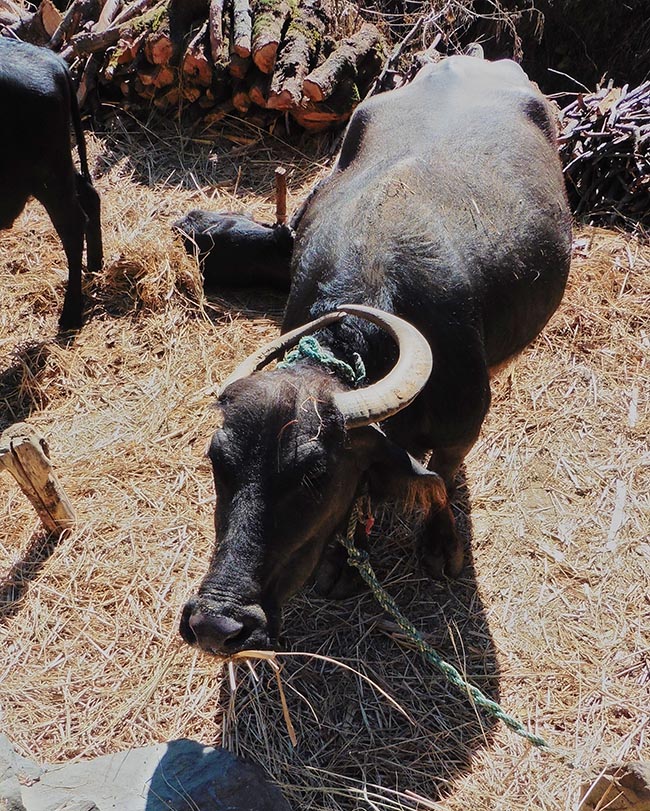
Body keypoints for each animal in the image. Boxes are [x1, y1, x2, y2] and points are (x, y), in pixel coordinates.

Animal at [0, 35, 101, 326]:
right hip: (58, 167)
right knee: (89, 194)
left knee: (73, 225)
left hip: (46, 174)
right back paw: (95, 266)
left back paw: (71, 314)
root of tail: (52, 60)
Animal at [180, 55, 568, 652]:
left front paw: (440, 545)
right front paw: (342, 561)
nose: (217, 625)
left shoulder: (462, 428)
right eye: (217, 461)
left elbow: (442, 477)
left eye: (314, 476)